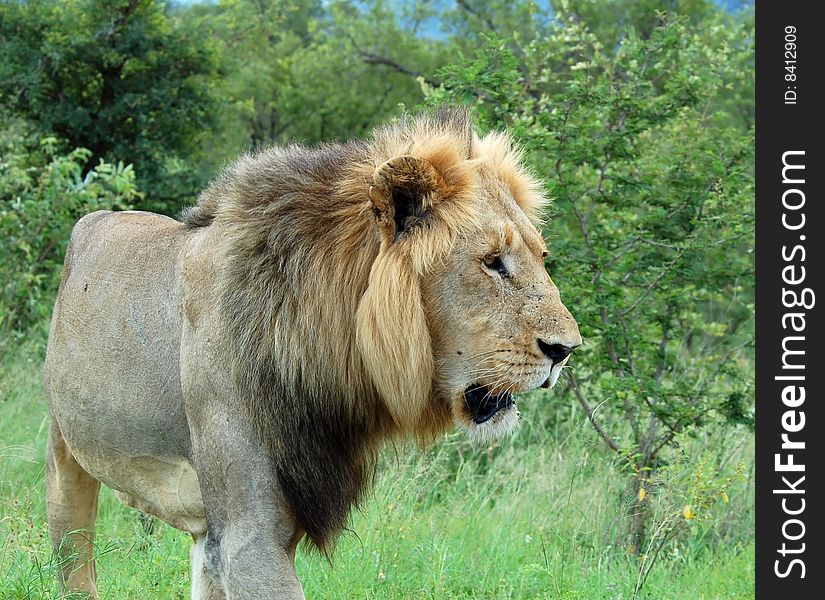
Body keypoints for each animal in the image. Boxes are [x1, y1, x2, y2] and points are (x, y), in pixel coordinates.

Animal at [43, 106, 580, 596]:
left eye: (541, 257)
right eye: (492, 262)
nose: (566, 350)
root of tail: (96, 218)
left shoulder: (244, 528)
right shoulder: (249, 536)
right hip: (65, 457)